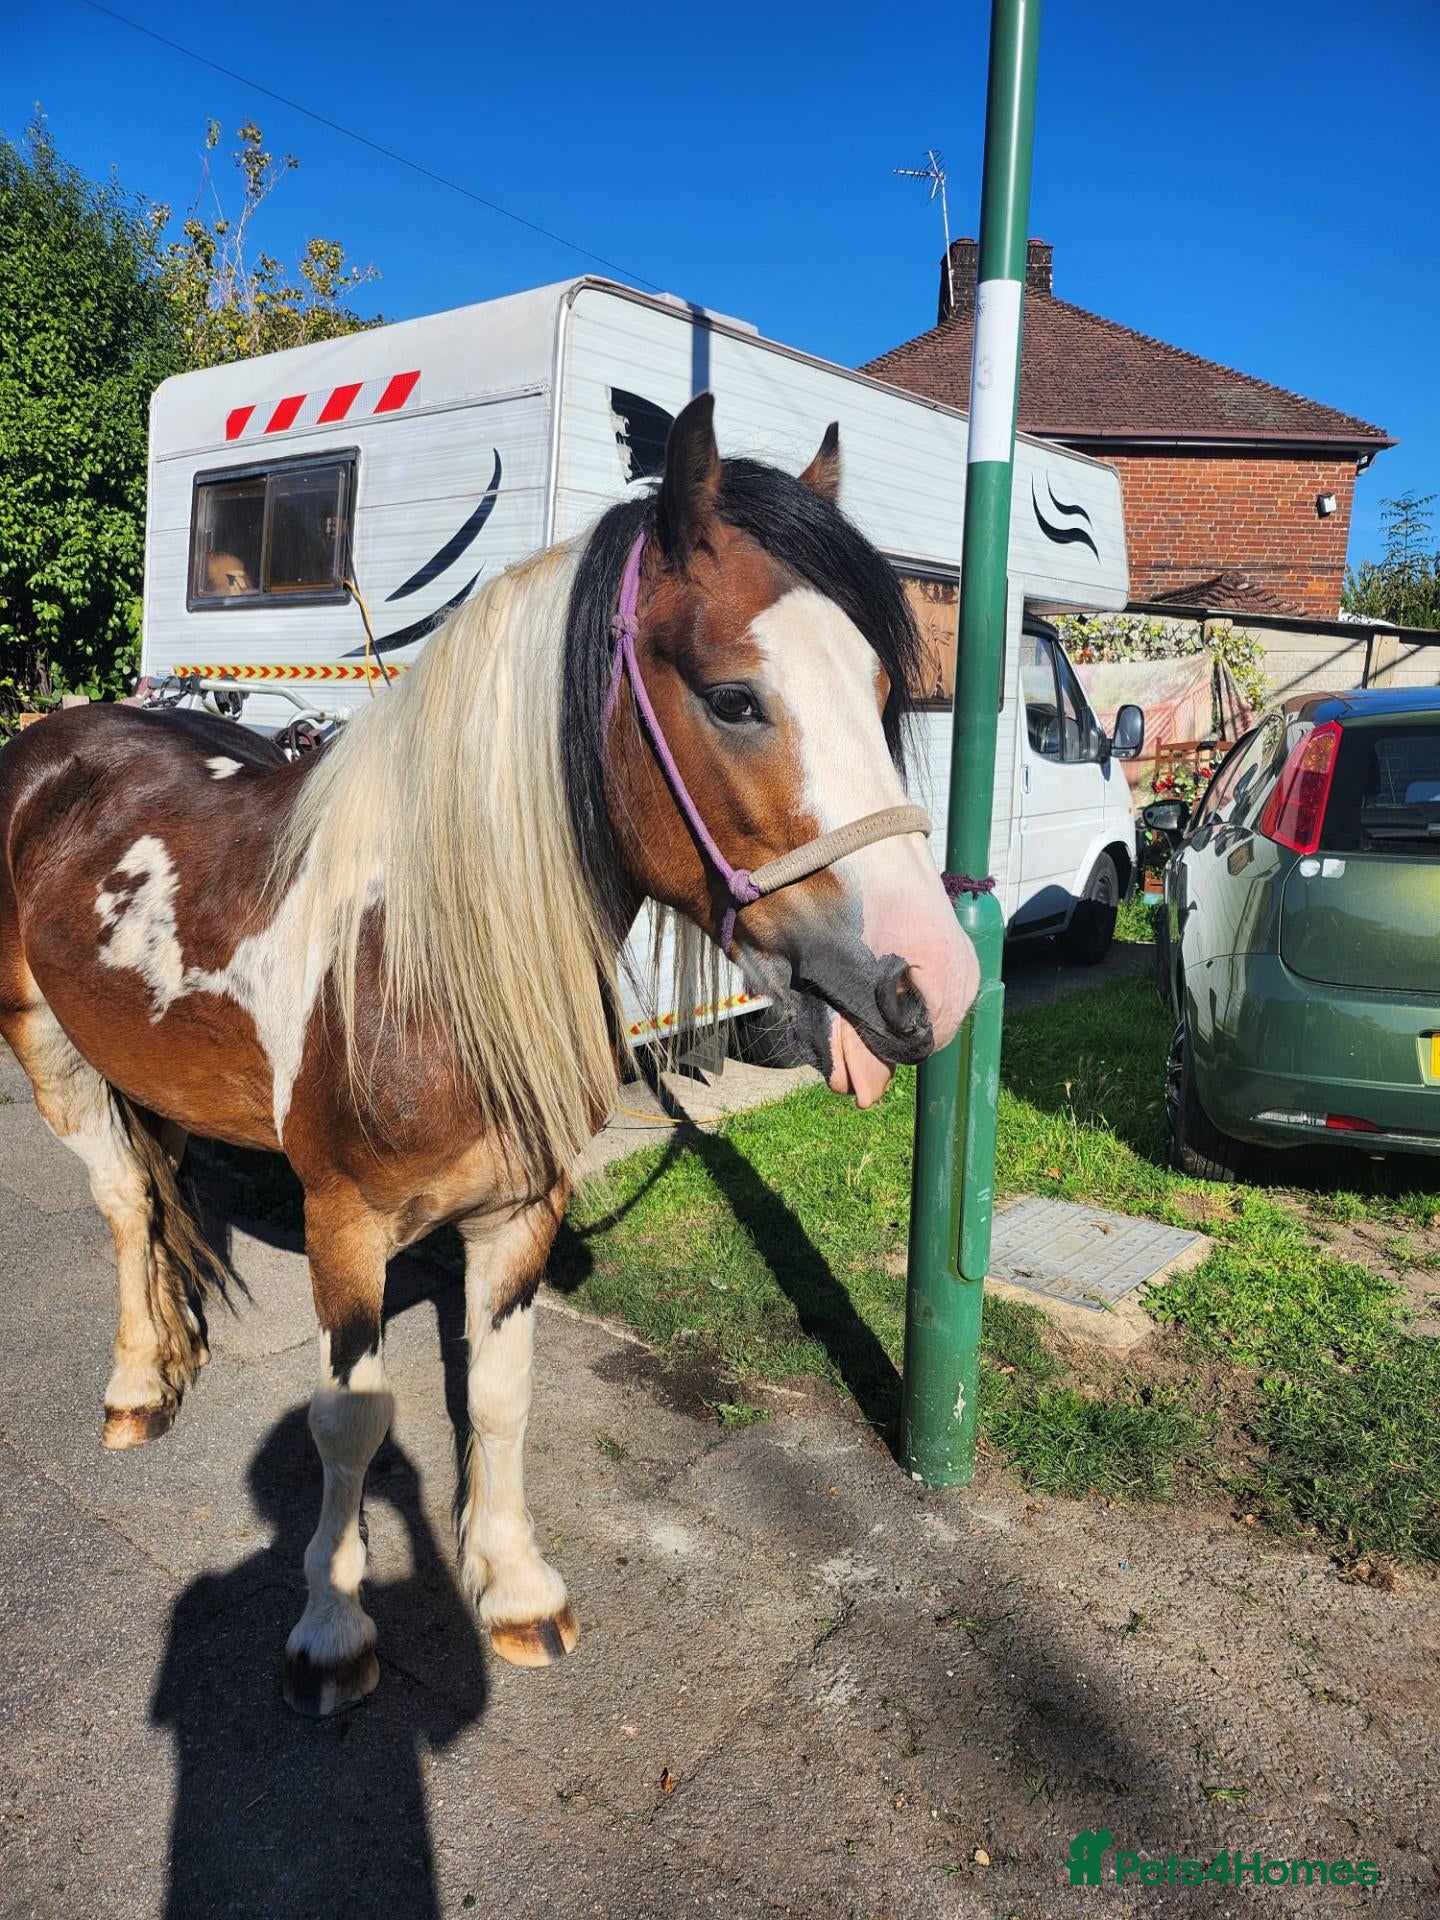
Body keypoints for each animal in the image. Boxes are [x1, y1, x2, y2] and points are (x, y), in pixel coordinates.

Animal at [0, 395, 978, 1714]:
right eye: (734, 698)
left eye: (880, 687)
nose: (936, 979)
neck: (424, 954)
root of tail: (56, 741)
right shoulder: (345, 1223)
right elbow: (348, 1423)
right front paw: (332, 1630)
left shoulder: (522, 1208)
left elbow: (504, 1395)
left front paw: (514, 1588)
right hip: (43, 1041)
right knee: (119, 1205)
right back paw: (137, 1386)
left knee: (159, 1202)